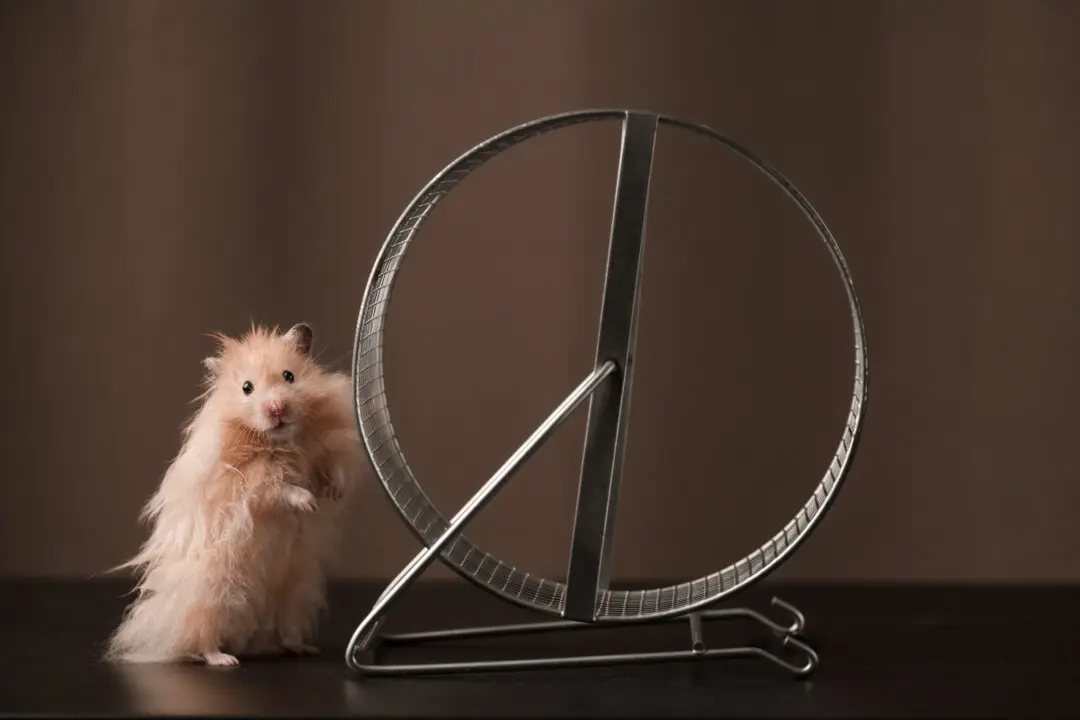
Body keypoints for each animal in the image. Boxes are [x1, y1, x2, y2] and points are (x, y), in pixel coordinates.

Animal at [105, 322, 367, 667]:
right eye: (246, 388)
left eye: (289, 376)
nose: (277, 409)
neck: (281, 440)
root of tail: (248, 635)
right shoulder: (251, 483)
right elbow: (280, 488)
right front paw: (308, 503)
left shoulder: (327, 444)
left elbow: (332, 465)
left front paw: (333, 493)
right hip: (213, 594)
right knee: (202, 638)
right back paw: (225, 659)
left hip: (297, 590)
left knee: (287, 630)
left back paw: (303, 649)